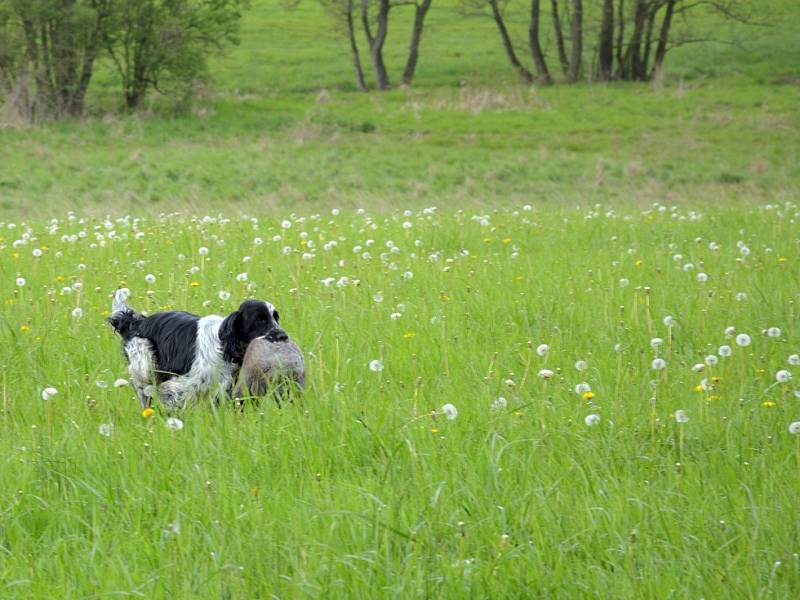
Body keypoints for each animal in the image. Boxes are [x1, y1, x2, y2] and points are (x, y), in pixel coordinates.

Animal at [108, 290, 286, 410]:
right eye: (259, 319)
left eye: (276, 317)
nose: (283, 336)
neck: (225, 347)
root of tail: (134, 322)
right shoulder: (185, 385)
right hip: (144, 364)